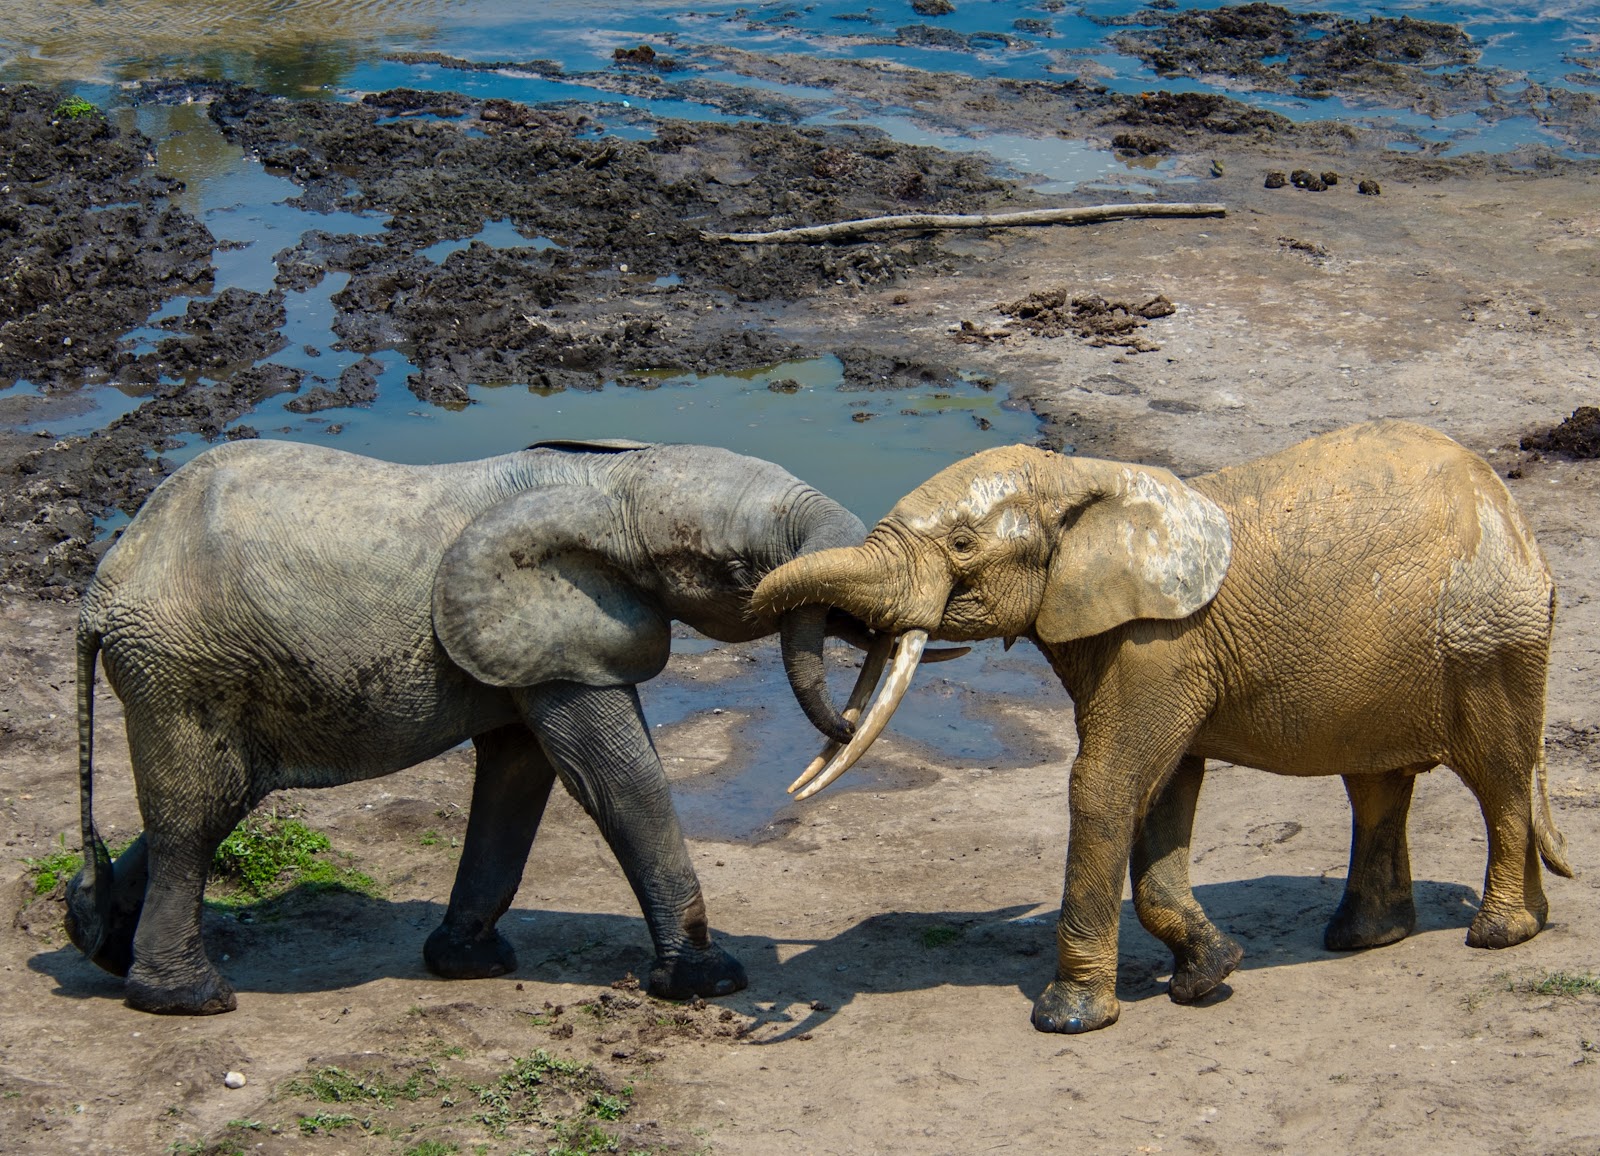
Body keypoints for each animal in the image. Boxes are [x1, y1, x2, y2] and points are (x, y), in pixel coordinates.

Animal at [65, 437, 887, 1015]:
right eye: (745, 571)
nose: (843, 729)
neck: (610, 482)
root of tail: (104, 585)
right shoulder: (565, 637)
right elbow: (616, 780)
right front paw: (710, 983)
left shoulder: (531, 646)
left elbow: (519, 779)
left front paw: (469, 965)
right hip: (182, 667)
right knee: (193, 820)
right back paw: (185, 999)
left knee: (213, 806)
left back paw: (93, 939)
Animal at [752, 420, 1574, 1034]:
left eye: (961, 546)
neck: (1081, 477)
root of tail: (1519, 524)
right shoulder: (1145, 644)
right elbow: (1161, 791)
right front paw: (1210, 973)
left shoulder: (1160, 644)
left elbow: (1106, 783)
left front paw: (1069, 1019)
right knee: (1376, 785)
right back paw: (1375, 937)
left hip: (1488, 640)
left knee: (1497, 777)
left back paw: (1498, 932)